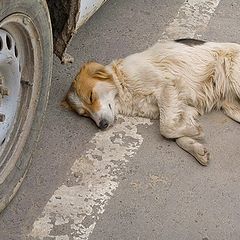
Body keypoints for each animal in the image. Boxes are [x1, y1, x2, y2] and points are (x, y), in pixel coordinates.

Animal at [62, 39, 240, 166]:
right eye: (84, 114)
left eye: (91, 96)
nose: (102, 125)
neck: (124, 86)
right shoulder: (184, 108)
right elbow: (176, 135)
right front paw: (196, 147)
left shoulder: (167, 87)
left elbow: (165, 129)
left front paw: (196, 133)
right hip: (232, 109)